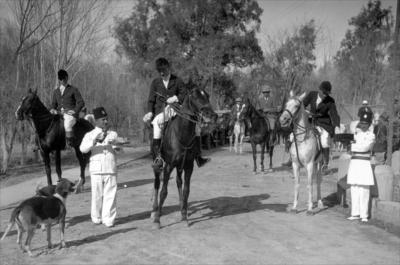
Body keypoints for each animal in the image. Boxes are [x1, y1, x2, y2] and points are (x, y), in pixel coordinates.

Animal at [152, 86, 217, 227]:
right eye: (195, 97)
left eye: (207, 96)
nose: (212, 115)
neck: (182, 135)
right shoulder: (168, 166)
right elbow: (163, 192)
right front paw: (158, 220)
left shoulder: (188, 166)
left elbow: (186, 190)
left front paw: (184, 216)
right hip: (158, 165)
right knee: (157, 184)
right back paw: (154, 211)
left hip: (179, 167)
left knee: (178, 182)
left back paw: (182, 209)